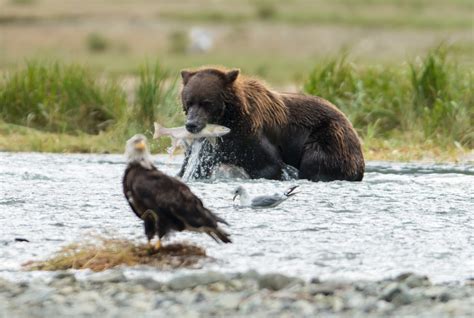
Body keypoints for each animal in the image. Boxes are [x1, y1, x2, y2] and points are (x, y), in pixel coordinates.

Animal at [176, 67, 364, 181]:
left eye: (206, 103)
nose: (191, 124)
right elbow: (192, 166)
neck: (229, 120)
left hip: (328, 138)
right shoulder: (212, 147)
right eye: (189, 102)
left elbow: (268, 164)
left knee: (315, 161)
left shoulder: (251, 134)